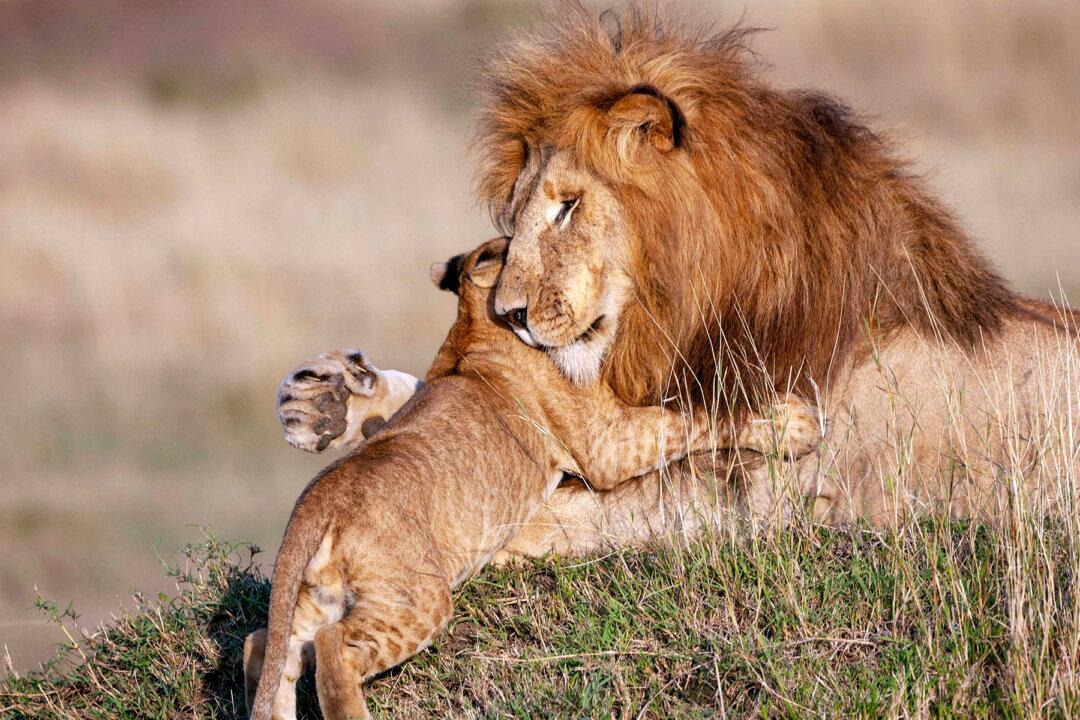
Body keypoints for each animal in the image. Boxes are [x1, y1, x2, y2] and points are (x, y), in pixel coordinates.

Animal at [247, 238, 819, 720]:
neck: (477, 326)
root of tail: (316, 502)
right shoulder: (606, 443)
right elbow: (695, 417)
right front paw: (796, 423)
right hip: (414, 598)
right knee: (333, 652)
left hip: (309, 604)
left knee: (267, 649)